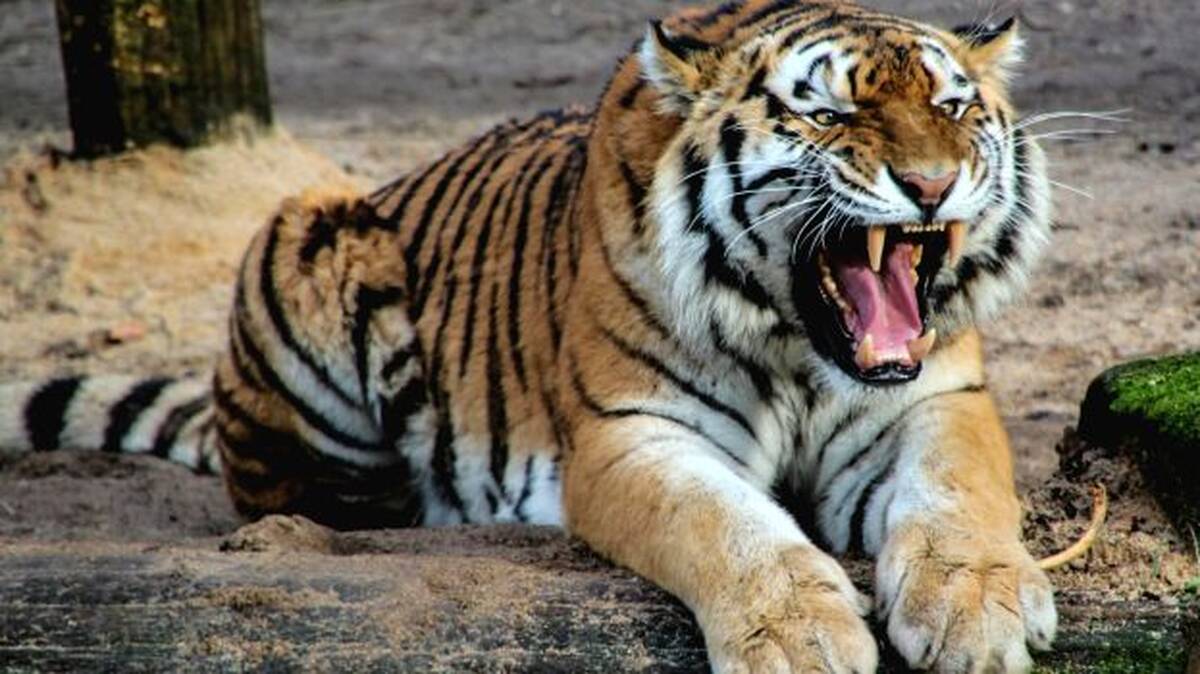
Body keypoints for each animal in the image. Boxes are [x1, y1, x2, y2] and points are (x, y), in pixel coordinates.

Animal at [0, 1, 1059, 671]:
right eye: (830, 112)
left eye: (952, 106)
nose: (932, 185)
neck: (801, 347)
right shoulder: (630, 434)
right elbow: (726, 526)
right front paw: (802, 639)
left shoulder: (936, 400)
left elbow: (960, 493)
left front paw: (978, 609)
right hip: (308, 230)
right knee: (300, 499)